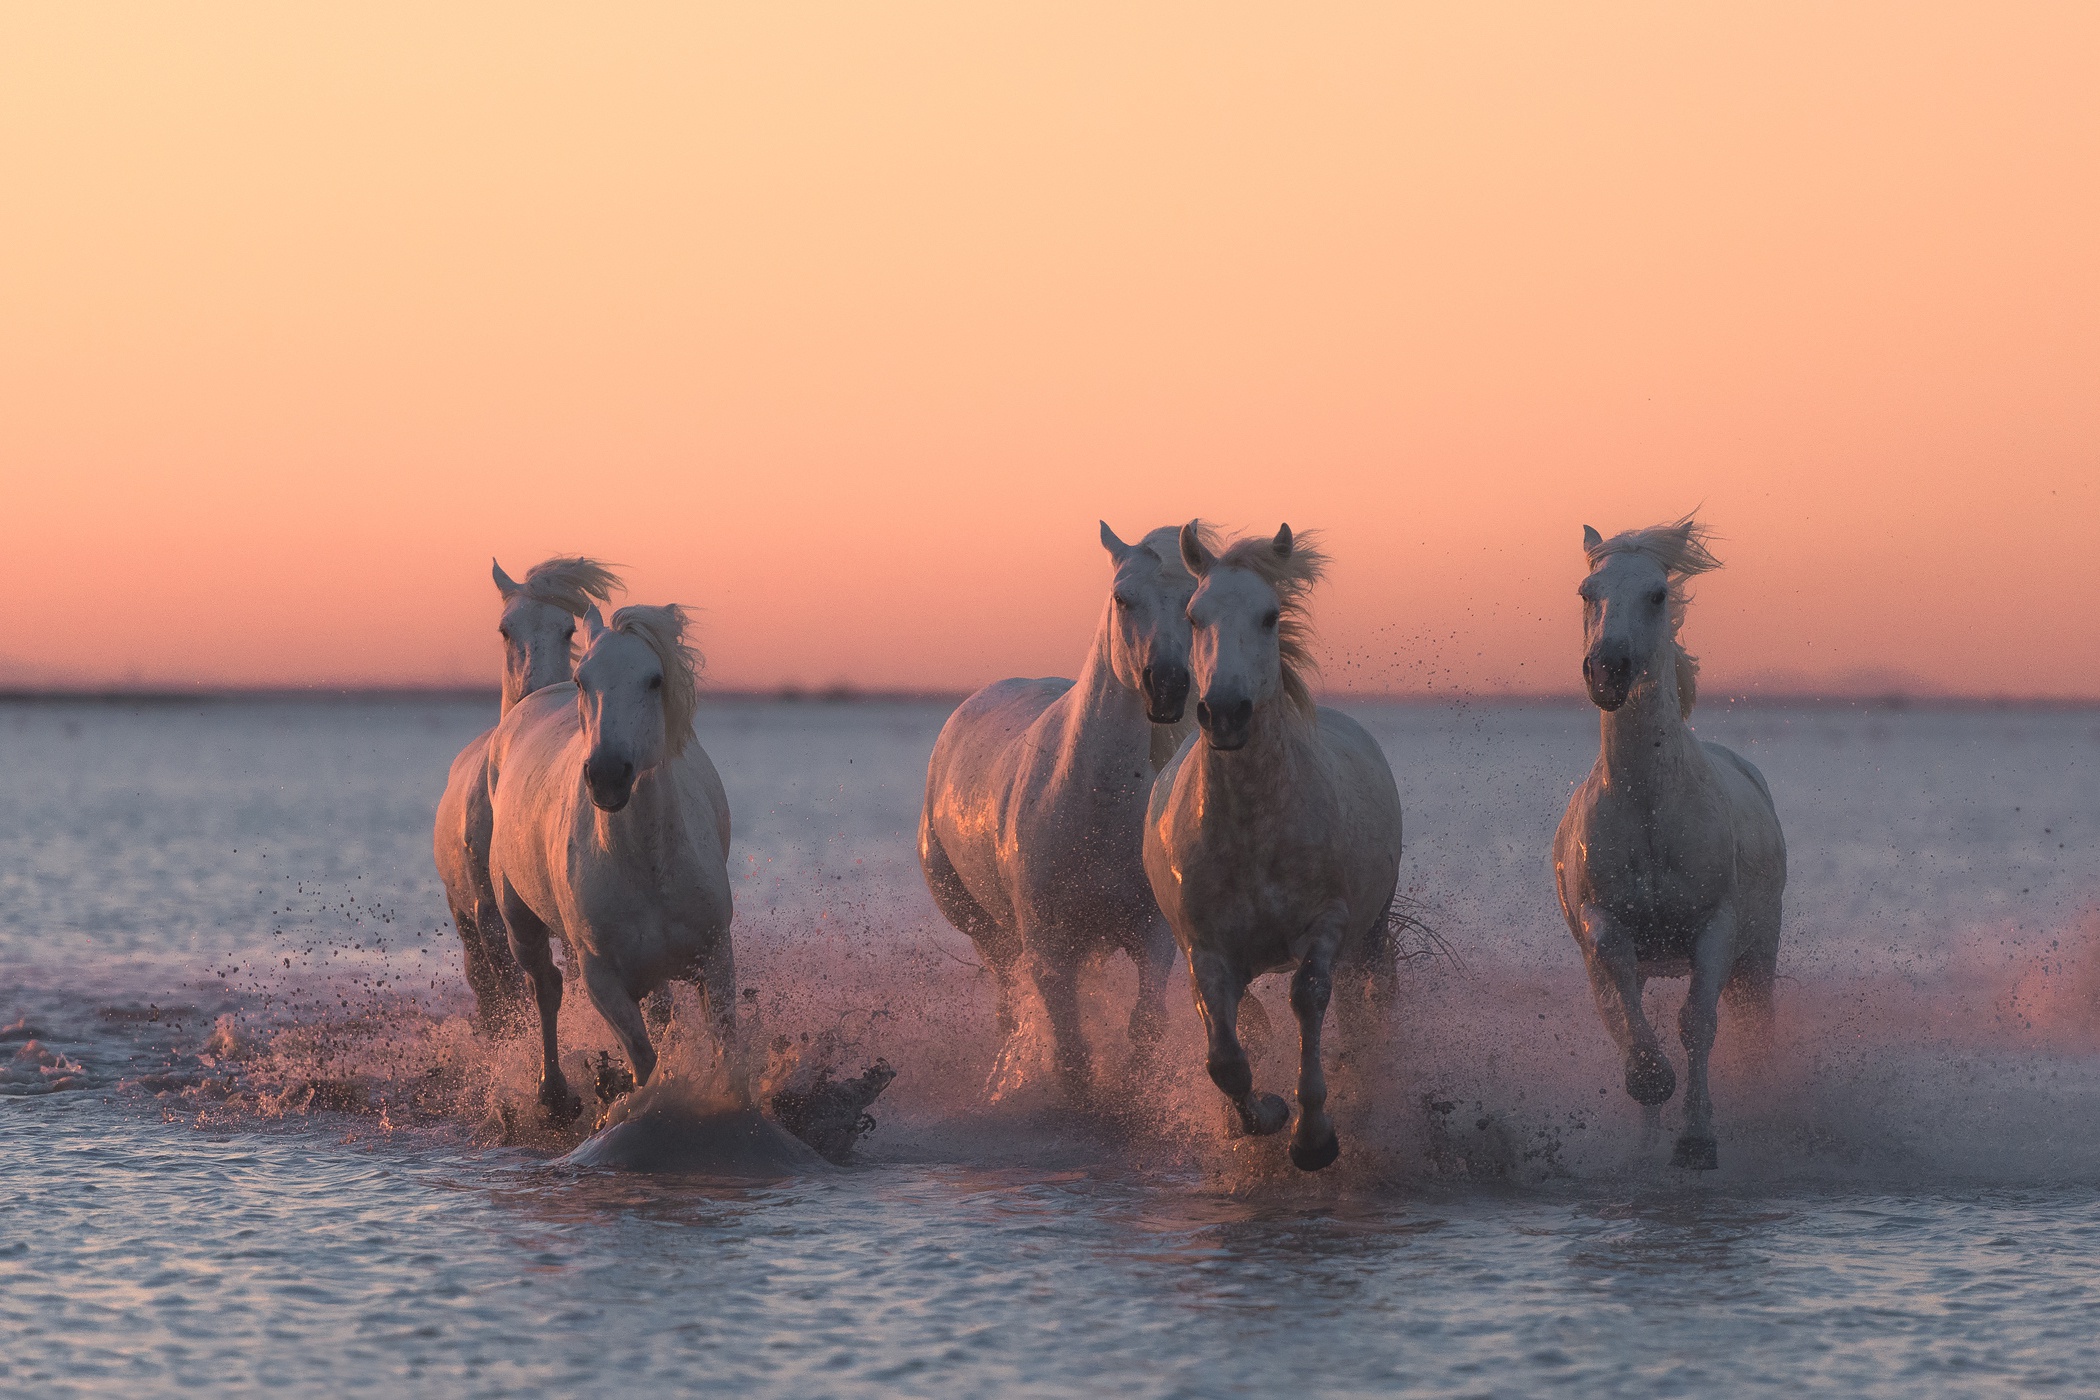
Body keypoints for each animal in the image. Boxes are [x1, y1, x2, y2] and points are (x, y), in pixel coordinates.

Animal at [430, 554, 617, 1028]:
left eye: (568, 629)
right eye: (505, 629)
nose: (538, 697)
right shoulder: (490, 917)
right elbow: (512, 1000)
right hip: (463, 919)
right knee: (484, 992)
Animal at [485, 604, 739, 1125]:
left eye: (654, 680)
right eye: (583, 680)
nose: (606, 775)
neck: (648, 867)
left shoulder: (715, 956)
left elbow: (725, 1046)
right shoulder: (602, 978)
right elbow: (644, 1060)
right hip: (519, 922)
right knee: (546, 987)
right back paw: (554, 1093)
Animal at [919, 520, 1201, 1099]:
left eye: (1193, 603)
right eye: (1122, 597)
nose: (1166, 686)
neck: (1099, 802)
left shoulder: (1152, 932)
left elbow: (1143, 1024)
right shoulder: (1048, 944)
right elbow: (1069, 1045)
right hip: (984, 927)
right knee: (1008, 1005)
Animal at [1142, 524, 1402, 1175]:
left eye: (1270, 615)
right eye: (1194, 615)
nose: (1225, 714)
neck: (1253, 830)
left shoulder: (1327, 924)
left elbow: (1307, 1000)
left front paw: (1314, 1137)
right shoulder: (1205, 949)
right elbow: (1225, 1056)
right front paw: (1263, 1117)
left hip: (1371, 934)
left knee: (1366, 1009)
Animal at [1553, 514, 1780, 1175]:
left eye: (1657, 594)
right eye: (1587, 593)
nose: (1607, 671)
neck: (1651, 808)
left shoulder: (1716, 927)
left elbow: (1696, 1027)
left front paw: (1698, 1141)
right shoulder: (1604, 923)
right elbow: (1630, 1021)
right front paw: (1650, 1085)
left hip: (1758, 957)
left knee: (1752, 1027)